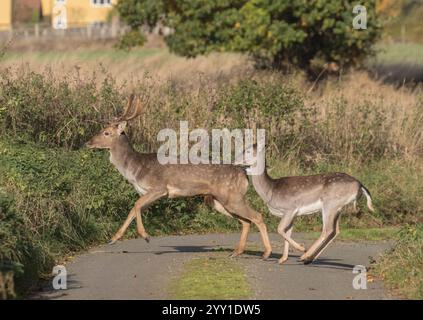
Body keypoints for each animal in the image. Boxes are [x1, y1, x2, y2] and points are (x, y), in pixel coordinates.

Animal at [85, 95, 274, 260]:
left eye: (106, 132)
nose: (88, 142)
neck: (135, 169)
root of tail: (244, 174)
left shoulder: (159, 187)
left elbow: (136, 205)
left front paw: (145, 236)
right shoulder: (148, 193)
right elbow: (134, 209)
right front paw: (113, 238)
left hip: (232, 196)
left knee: (257, 216)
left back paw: (266, 253)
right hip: (219, 201)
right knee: (246, 221)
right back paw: (236, 252)